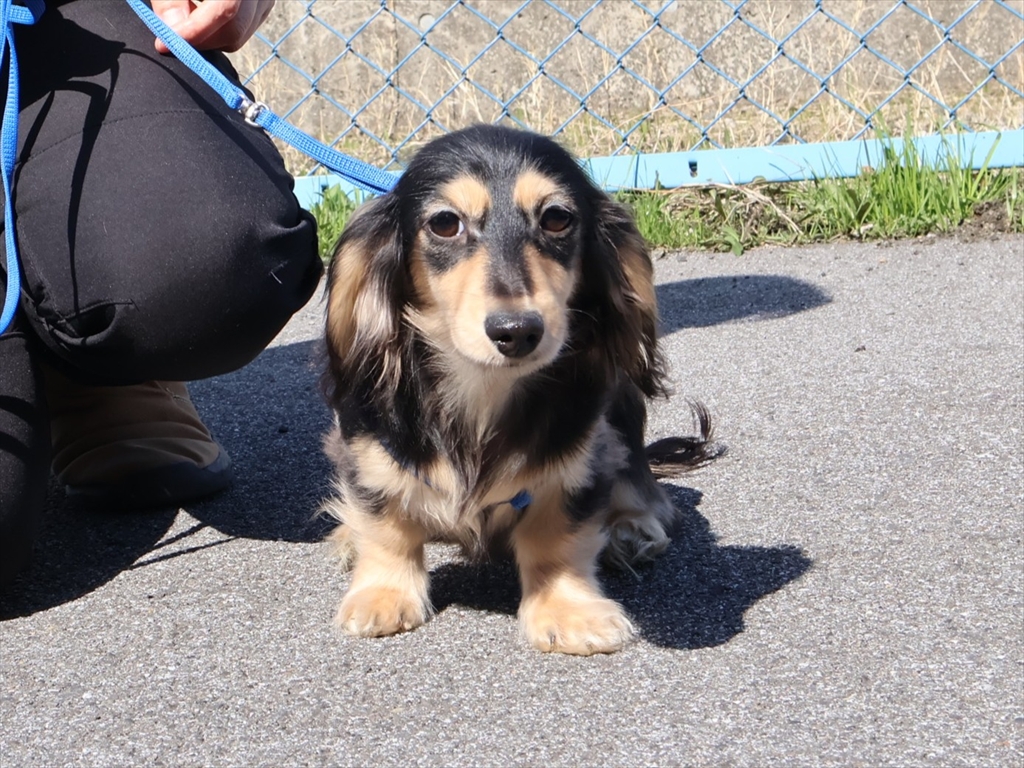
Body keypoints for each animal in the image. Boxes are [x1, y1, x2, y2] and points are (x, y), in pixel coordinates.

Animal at [321, 125, 719, 655]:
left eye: (556, 218)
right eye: (445, 223)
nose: (516, 331)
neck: (484, 386)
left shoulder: (581, 459)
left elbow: (557, 536)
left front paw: (569, 611)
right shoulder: (368, 443)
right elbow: (386, 523)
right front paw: (382, 594)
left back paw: (630, 528)